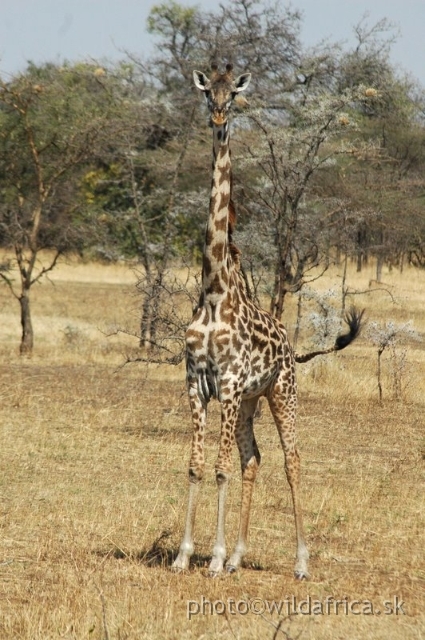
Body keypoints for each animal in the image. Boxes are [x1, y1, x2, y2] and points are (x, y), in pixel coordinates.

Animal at [171, 65, 362, 580]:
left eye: (233, 97)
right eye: (206, 94)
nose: (218, 118)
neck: (213, 292)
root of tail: (289, 345)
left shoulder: (229, 383)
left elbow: (218, 468)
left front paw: (213, 558)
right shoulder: (197, 382)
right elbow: (196, 465)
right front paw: (185, 555)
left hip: (280, 390)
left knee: (292, 459)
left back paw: (300, 562)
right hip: (251, 401)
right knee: (253, 458)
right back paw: (240, 556)